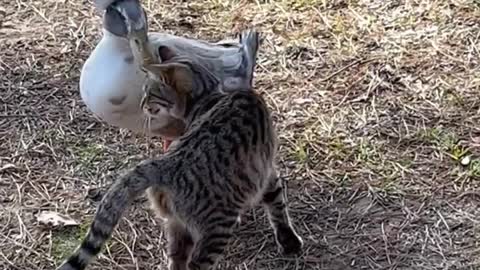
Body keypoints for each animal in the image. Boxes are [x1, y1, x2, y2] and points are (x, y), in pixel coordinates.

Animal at [58, 29, 302, 270]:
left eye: (149, 93)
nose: (142, 105)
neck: (211, 95)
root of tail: (165, 165)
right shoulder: (267, 168)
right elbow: (277, 205)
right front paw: (289, 241)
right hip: (216, 228)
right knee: (196, 264)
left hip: (177, 225)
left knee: (176, 260)